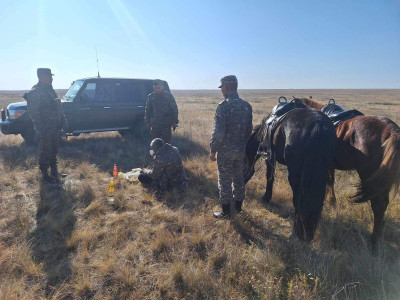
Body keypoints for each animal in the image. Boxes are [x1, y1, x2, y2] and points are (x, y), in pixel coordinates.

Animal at [245, 108, 336, 241]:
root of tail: (318, 126)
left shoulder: (270, 158)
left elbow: (270, 177)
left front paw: (266, 198)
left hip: (294, 175)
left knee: (298, 199)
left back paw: (296, 232)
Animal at [290, 97, 400, 245]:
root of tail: (391, 130)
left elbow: (330, 181)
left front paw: (331, 202)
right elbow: (331, 181)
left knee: (378, 205)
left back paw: (374, 241)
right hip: (383, 179)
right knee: (383, 204)